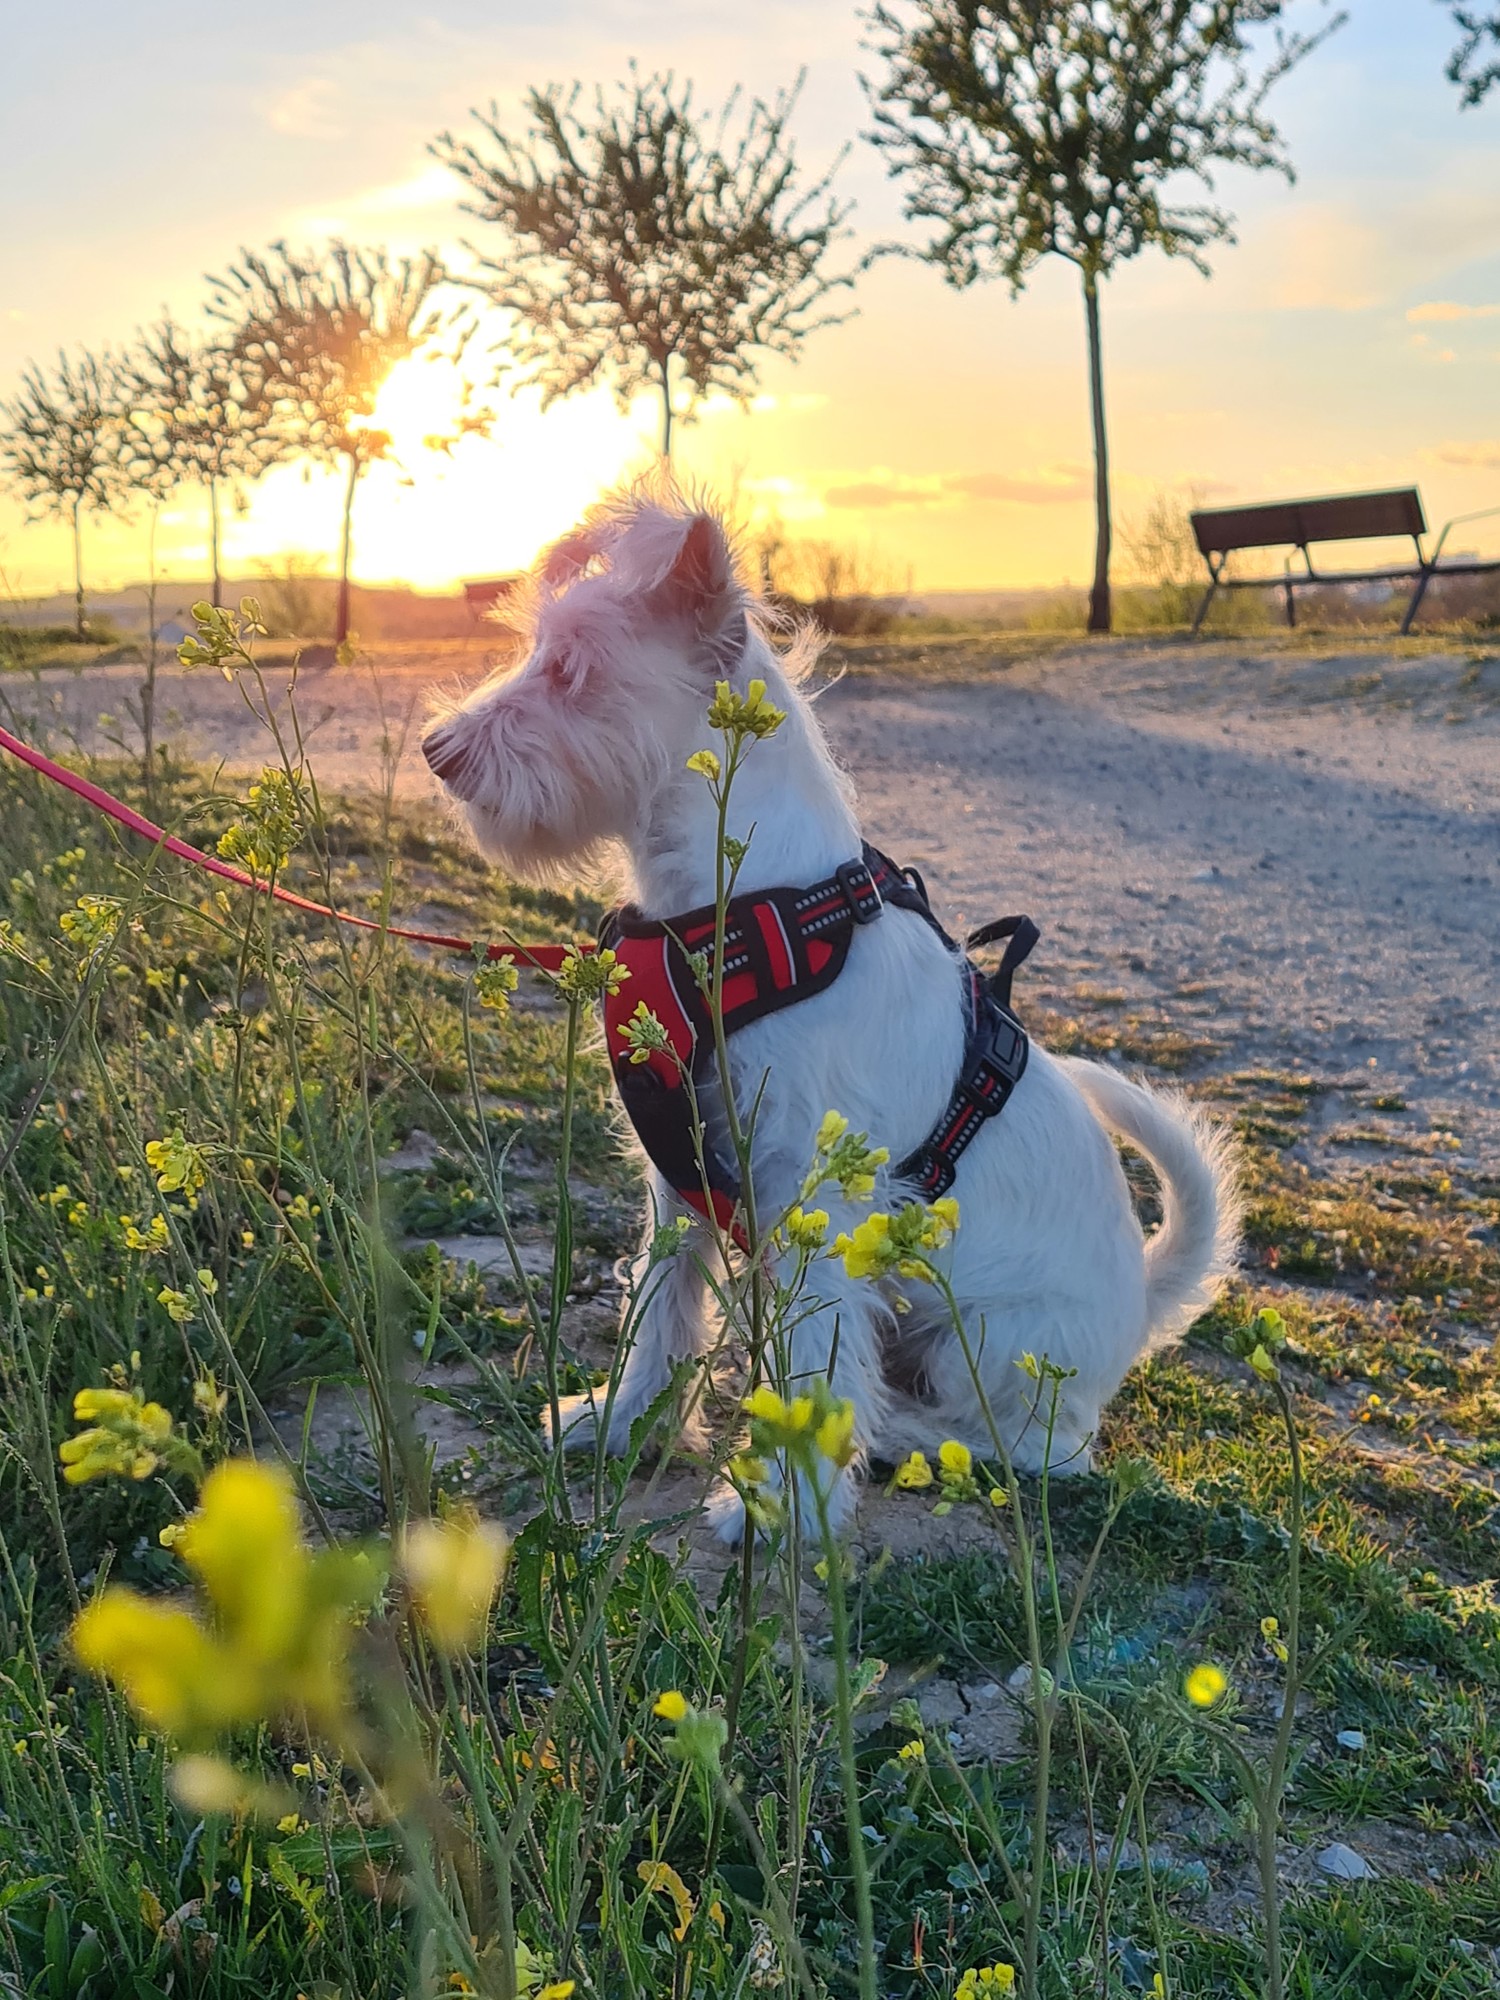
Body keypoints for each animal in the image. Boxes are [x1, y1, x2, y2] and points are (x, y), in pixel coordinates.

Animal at [426, 492, 1248, 1536]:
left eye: (571, 668)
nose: (438, 751)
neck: (740, 919)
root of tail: (1144, 1297)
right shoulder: (680, 1179)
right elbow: (659, 1307)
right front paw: (623, 1420)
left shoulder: (817, 1197)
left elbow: (816, 1360)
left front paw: (783, 1501)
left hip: (986, 1338)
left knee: (1042, 1448)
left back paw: (912, 1437)